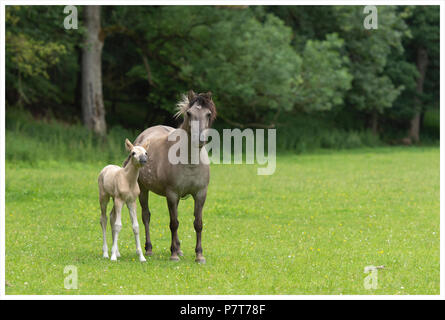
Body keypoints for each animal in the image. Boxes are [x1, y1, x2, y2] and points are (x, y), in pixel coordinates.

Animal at [124, 90, 216, 262]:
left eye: (208, 114)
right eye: (189, 113)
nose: (199, 139)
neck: (190, 161)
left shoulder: (200, 194)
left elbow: (198, 223)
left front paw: (199, 255)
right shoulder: (172, 194)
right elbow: (174, 223)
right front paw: (173, 255)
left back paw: (179, 249)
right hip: (144, 190)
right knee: (146, 216)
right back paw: (149, 249)